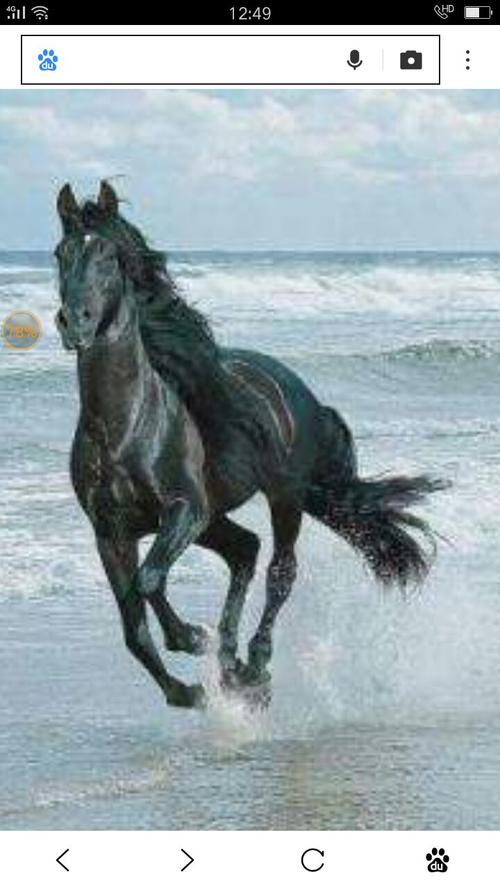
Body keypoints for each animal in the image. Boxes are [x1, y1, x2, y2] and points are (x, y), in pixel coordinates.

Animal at [54, 180, 445, 710]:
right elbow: (133, 629)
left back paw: (254, 664)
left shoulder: (184, 510)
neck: (126, 426)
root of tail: (299, 391)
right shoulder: (110, 532)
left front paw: (190, 638)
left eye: (110, 257)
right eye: (61, 253)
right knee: (245, 550)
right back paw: (232, 665)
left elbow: (150, 580)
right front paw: (188, 690)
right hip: (216, 519)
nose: (74, 323)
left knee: (280, 570)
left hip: (282, 497)